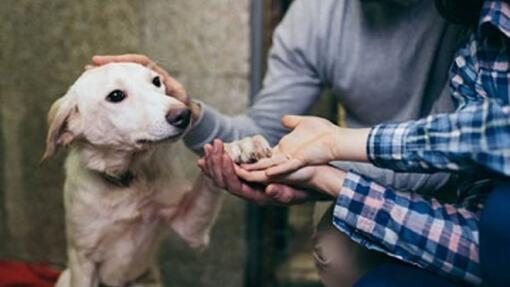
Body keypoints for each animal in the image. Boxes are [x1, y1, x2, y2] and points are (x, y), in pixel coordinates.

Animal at [42, 63, 272, 287]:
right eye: (116, 95)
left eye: (156, 81)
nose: (183, 114)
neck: (126, 180)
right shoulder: (84, 260)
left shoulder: (190, 226)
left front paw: (238, 146)